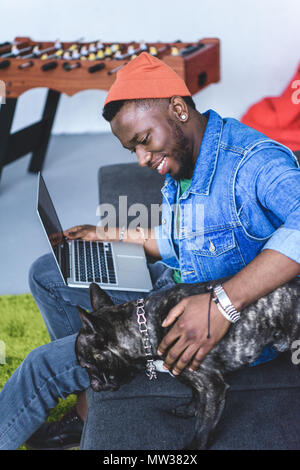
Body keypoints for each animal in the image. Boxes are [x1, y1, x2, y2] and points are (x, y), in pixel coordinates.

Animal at [75, 278, 300, 450]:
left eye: (87, 366)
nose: (94, 385)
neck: (144, 331)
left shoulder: (212, 387)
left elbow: (203, 425)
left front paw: (194, 446)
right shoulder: (188, 372)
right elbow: (194, 394)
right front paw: (189, 409)